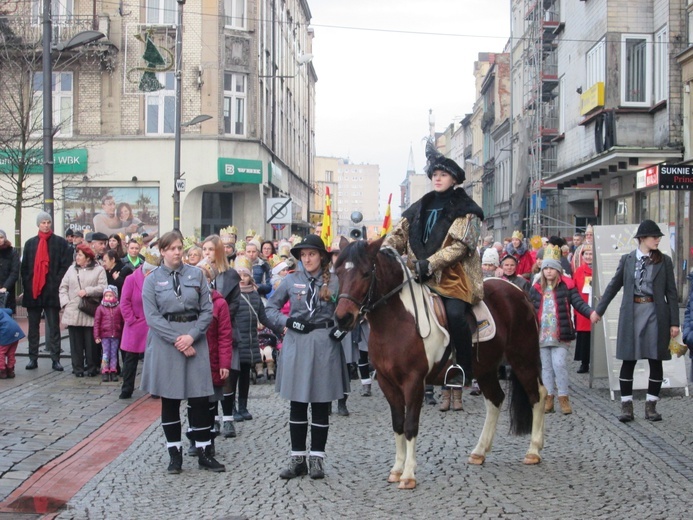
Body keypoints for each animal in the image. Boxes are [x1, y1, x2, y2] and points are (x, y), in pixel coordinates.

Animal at [336, 238, 548, 490]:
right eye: (337, 272)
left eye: (366, 273)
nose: (343, 318)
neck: (398, 322)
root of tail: (518, 291)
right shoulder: (388, 383)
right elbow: (398, 424)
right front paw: (396, 469)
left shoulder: (414, 382)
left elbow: (410, 425)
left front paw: (408, 475)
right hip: (485, 369)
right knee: (495, 400)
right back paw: (479, 451)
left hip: (523, 358)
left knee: (537, 396)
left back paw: (533, 450)